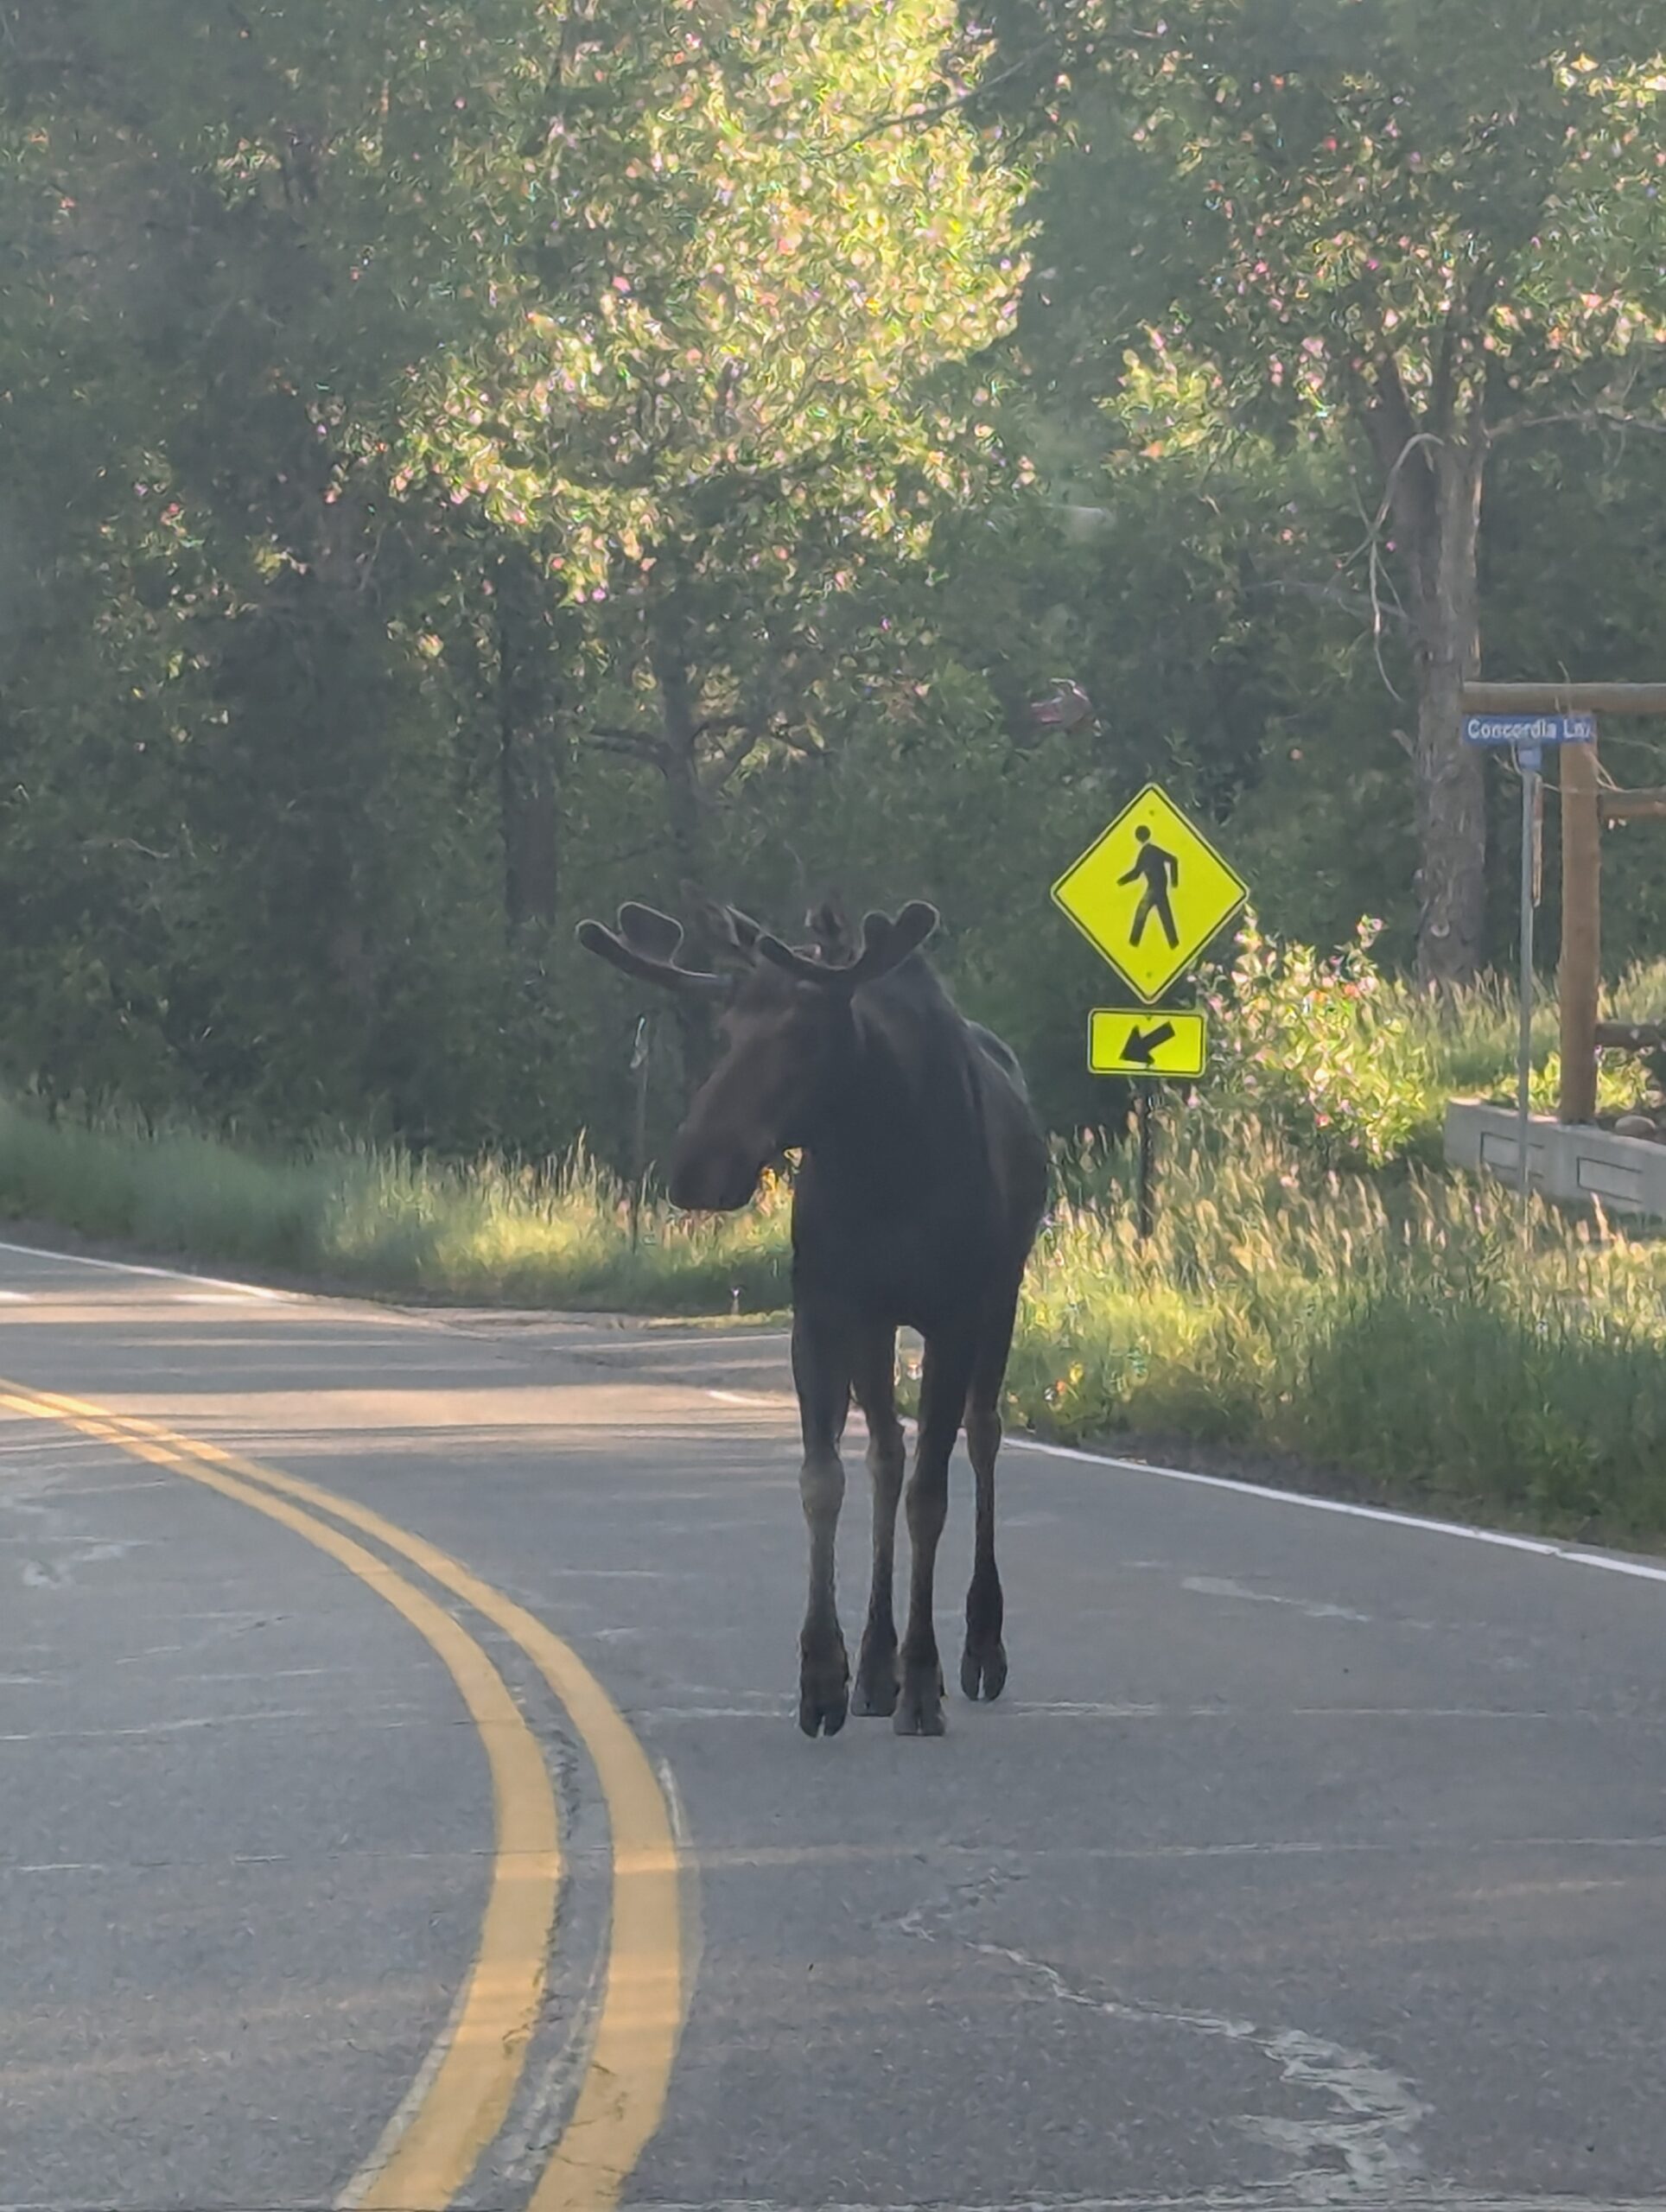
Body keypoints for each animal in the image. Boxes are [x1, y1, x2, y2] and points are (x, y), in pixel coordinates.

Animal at [577, 894, 1049, 1738]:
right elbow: (823, 1480)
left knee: (983, 1433)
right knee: (886, 1453)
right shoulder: (826, 1311)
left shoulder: (954, 1314)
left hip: (1002, 1298)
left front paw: (922, 1679)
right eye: (727, 1029)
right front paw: (826, 1675)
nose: (694, 1167)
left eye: (804, 1032)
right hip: (879, 1328)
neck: (884, 1162)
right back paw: (875, 1664)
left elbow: (932, 1495)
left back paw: (977, 1648)